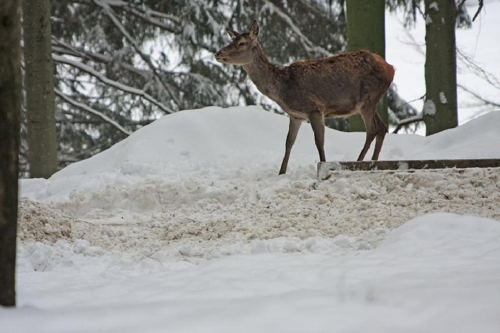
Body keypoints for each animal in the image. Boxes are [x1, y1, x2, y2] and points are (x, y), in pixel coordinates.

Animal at [215, 19, 394, 175]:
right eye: (231, 40)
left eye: (241, 43)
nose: (218, 53)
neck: (282, 89)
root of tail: (390, 68)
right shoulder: (295, 115)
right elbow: (289, 142)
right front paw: (281, 173)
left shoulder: (315, 108)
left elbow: (319, 141)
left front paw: (323, 165)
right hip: (371, 101)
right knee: (382, 127)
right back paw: (373, 162)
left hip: (368, 98)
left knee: (372, 130)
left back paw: (360, 162)